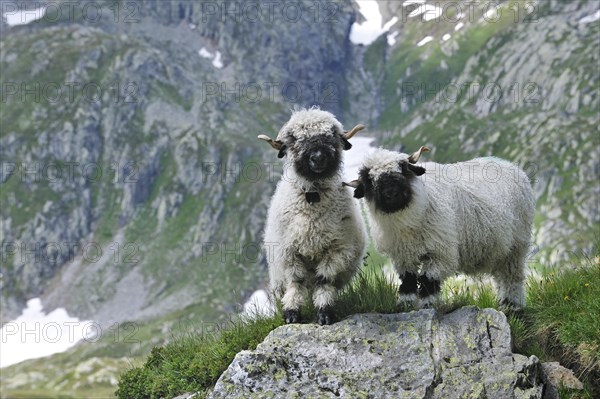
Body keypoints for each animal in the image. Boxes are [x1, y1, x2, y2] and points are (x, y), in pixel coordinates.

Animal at [260, 108, 368, 324]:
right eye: (294, 139)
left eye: (331, 135)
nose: (318, 157)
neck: (313, 195)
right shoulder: (289, 252)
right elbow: (296, 282)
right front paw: (292, 313)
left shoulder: (336, 250)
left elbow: (324, 281)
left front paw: (324, 312)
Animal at [346, 148, 536, 310]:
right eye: (370, 180)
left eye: (403, 169)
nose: (391, 193)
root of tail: (510, 165)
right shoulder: (402, 255)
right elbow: (408, 280)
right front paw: (405, 305)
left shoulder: (441, 252)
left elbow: (427, 280)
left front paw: (427, 305)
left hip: (517, 245)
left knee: (512, 276)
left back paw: (512, 306)